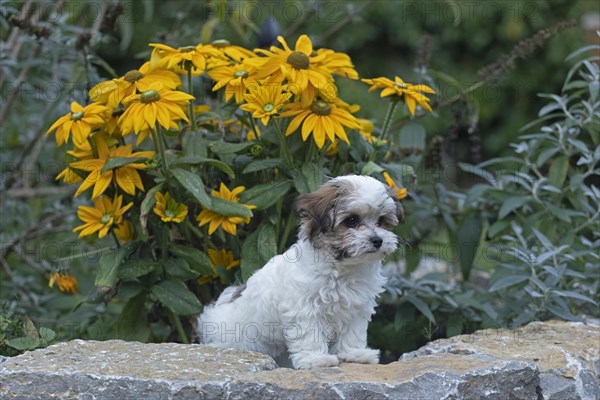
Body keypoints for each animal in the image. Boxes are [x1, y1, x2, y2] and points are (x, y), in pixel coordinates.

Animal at [197, 175, 404, 368]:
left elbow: (353, 331)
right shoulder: (304, 308)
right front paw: (317, 359)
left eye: (381, 220)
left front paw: (354, 354)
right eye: (351, 220)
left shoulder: (357, 306)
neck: (342, 268)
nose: (377, 240)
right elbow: (309, 333)